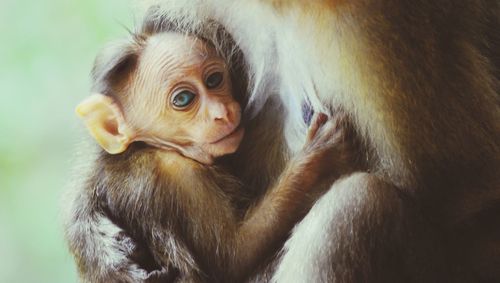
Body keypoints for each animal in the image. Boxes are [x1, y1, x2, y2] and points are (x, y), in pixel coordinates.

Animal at [65, 28, 356, 282]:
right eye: (183, 99)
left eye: (214, 80)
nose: (222, 112)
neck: (149, 146)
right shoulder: (180, 176)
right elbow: (233, 257)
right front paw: (316, 160)